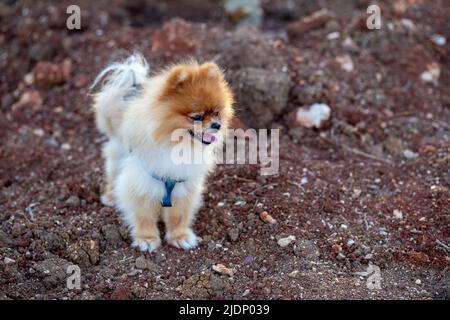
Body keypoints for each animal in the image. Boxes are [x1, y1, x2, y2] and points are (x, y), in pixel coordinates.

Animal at [89, 53, 234, 251]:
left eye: (217, 113)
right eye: (197, 117)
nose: (217, 125)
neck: (176, 146)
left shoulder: (183, 185)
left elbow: (178, 215)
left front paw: (180, 236)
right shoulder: (141, 183)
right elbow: (143, 214)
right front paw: (147, 239)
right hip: (118, 155)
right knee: (113, 174)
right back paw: (111, 196)